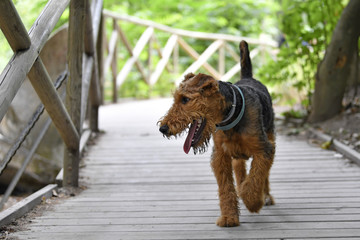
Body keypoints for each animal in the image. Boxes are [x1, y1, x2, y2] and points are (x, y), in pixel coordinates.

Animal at [158, 40, 276, 227]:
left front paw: (253, 202)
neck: (232, 115)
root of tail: (249, 78)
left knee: (264, 175)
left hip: (270, 137)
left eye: (185, 99)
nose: (163, 128)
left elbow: (256, 177)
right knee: (240, 169)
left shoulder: (264, 150)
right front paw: (229, 217)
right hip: (237, 154)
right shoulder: (220, 156)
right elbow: (226, 188)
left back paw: (265, 196)